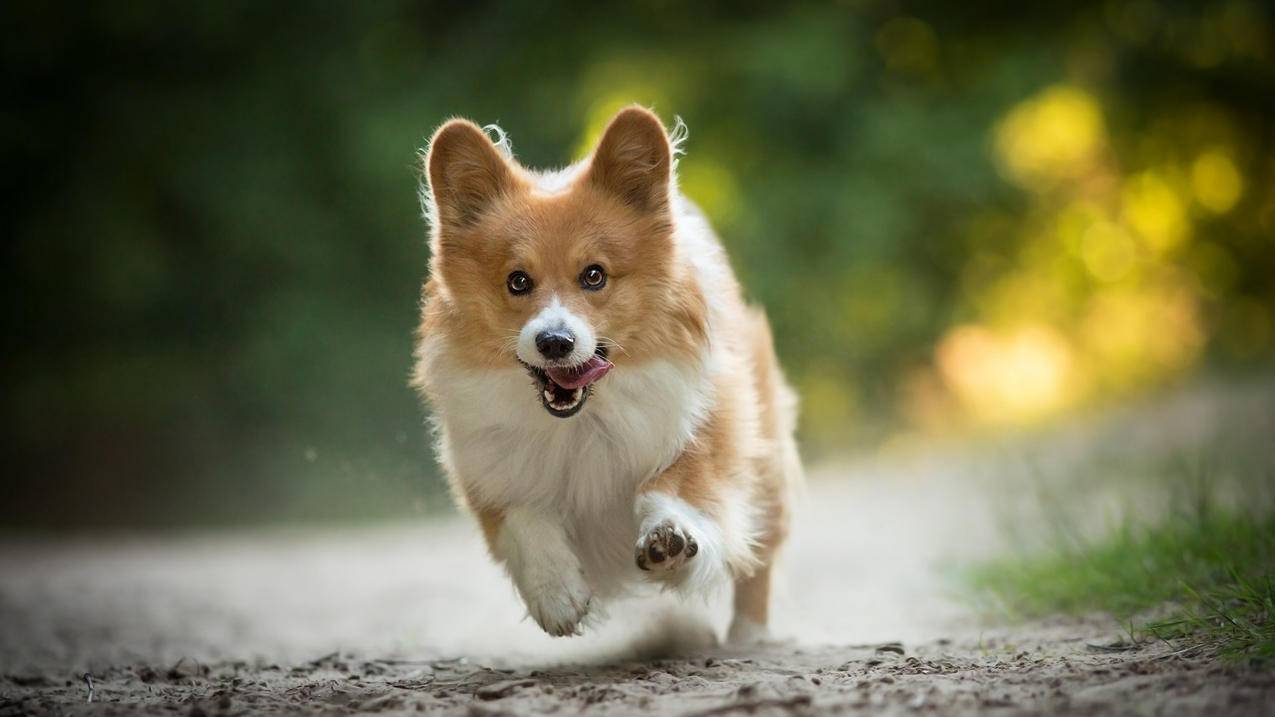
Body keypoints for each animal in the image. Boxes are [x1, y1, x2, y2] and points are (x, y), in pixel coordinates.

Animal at [413, 103, 800, 637]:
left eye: (594, 275)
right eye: (518, 281)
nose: (555, 342)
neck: (581, 423)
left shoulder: (705, 423)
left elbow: (679, 482)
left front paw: (668, 536)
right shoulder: (489, 468)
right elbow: (523, 518)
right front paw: (557, 594)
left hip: (767, 461)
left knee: (759, 554)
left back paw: (749, 636)